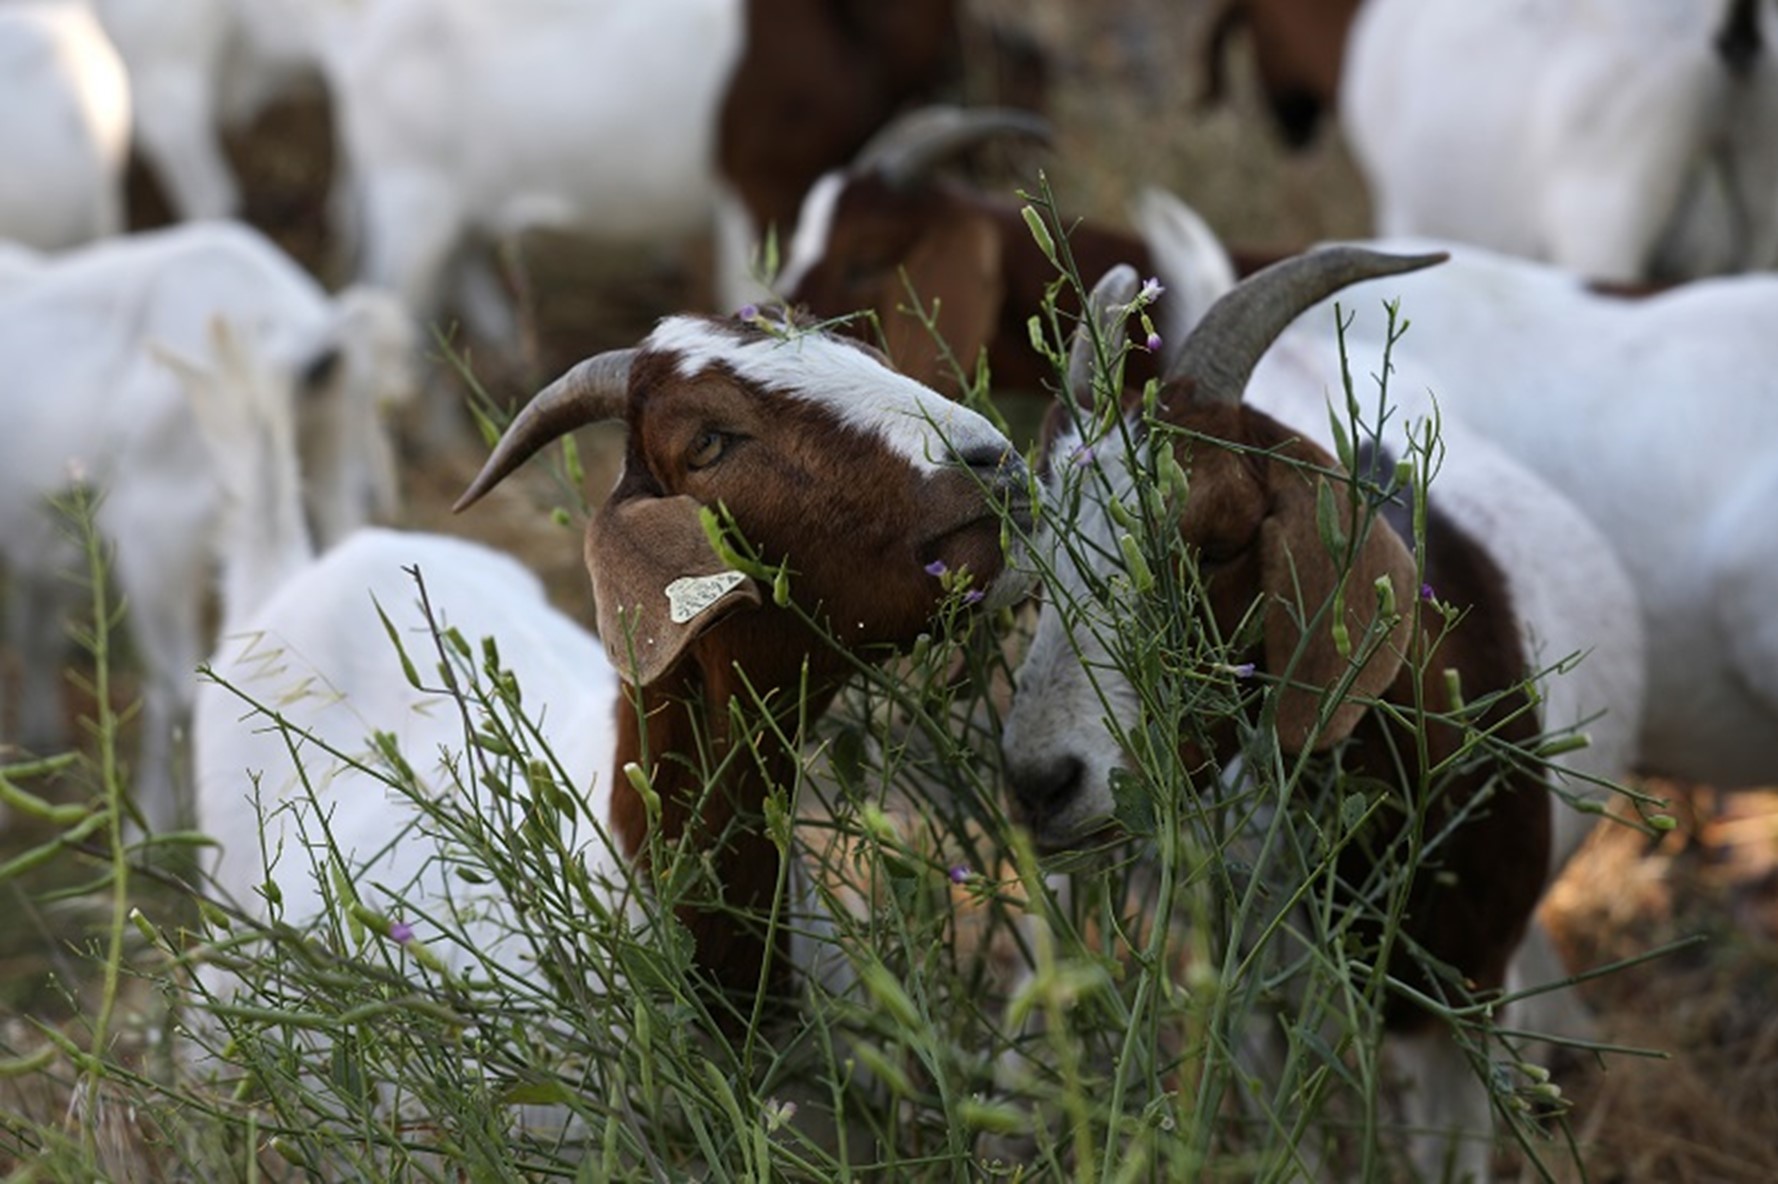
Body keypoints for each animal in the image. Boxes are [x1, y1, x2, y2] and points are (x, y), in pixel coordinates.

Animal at [1, 218, 408, 828]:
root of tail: (305, 334)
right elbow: (38, 627)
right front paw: (41, 734)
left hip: (155, 536)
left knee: (178, 687)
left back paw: (146, 831)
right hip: (330, 464)